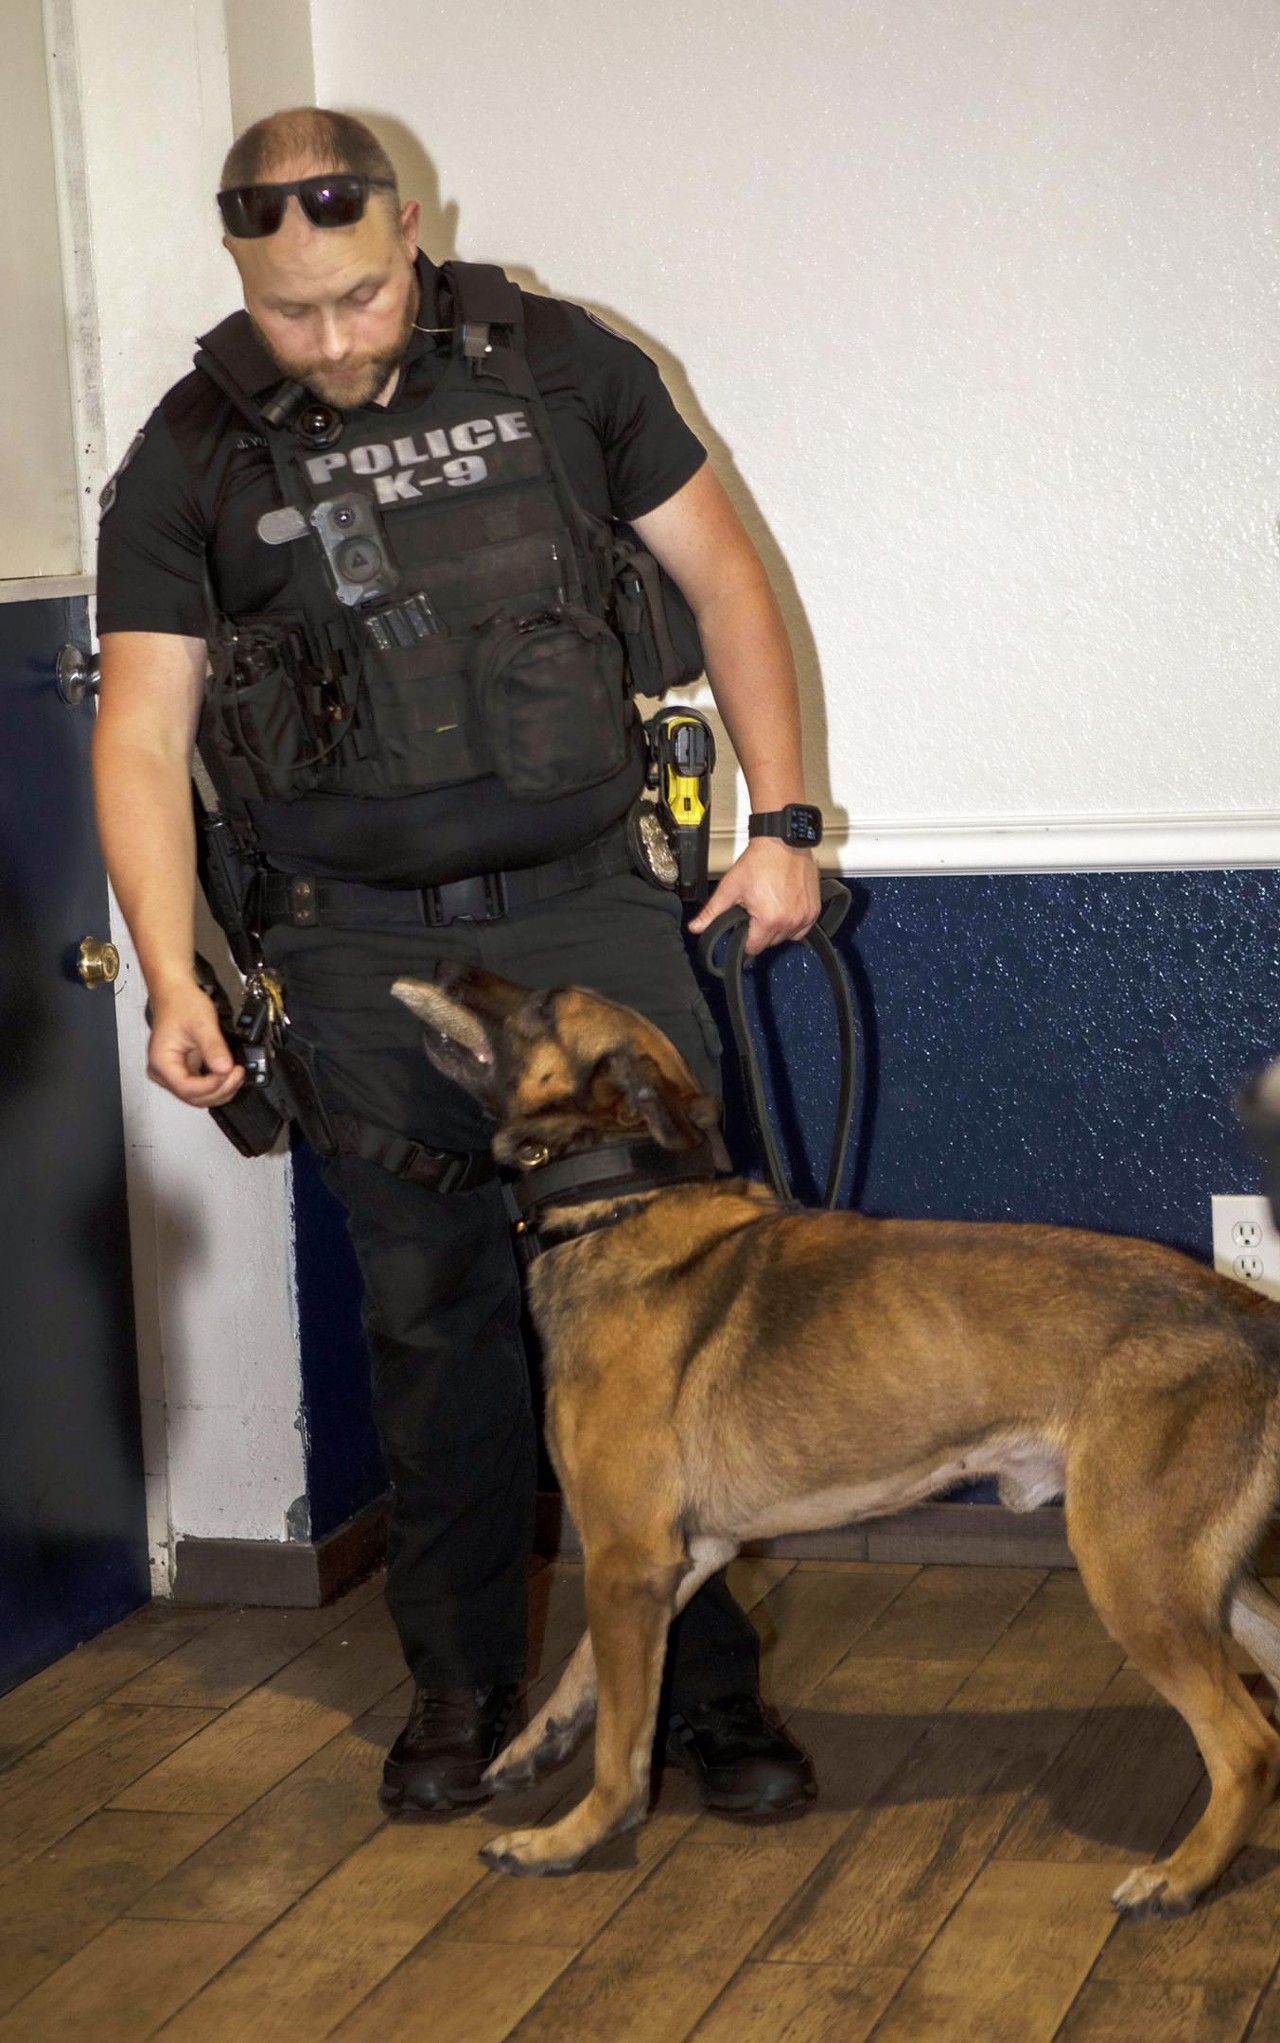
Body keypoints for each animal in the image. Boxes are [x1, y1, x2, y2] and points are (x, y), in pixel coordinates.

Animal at [394, 964, 1280, 1904]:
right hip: (1198, 1571)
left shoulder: (627, 1559)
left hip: (1136, 1572)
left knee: (1247, 1745)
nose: (448, 968)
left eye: (543, 1005)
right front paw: (538, 1742)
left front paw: (571, 1836)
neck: (620, 1200)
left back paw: (1181, 1877)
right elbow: (586, 1668)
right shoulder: (677, 1556)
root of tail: (1252, 1313)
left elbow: (621, 1747)